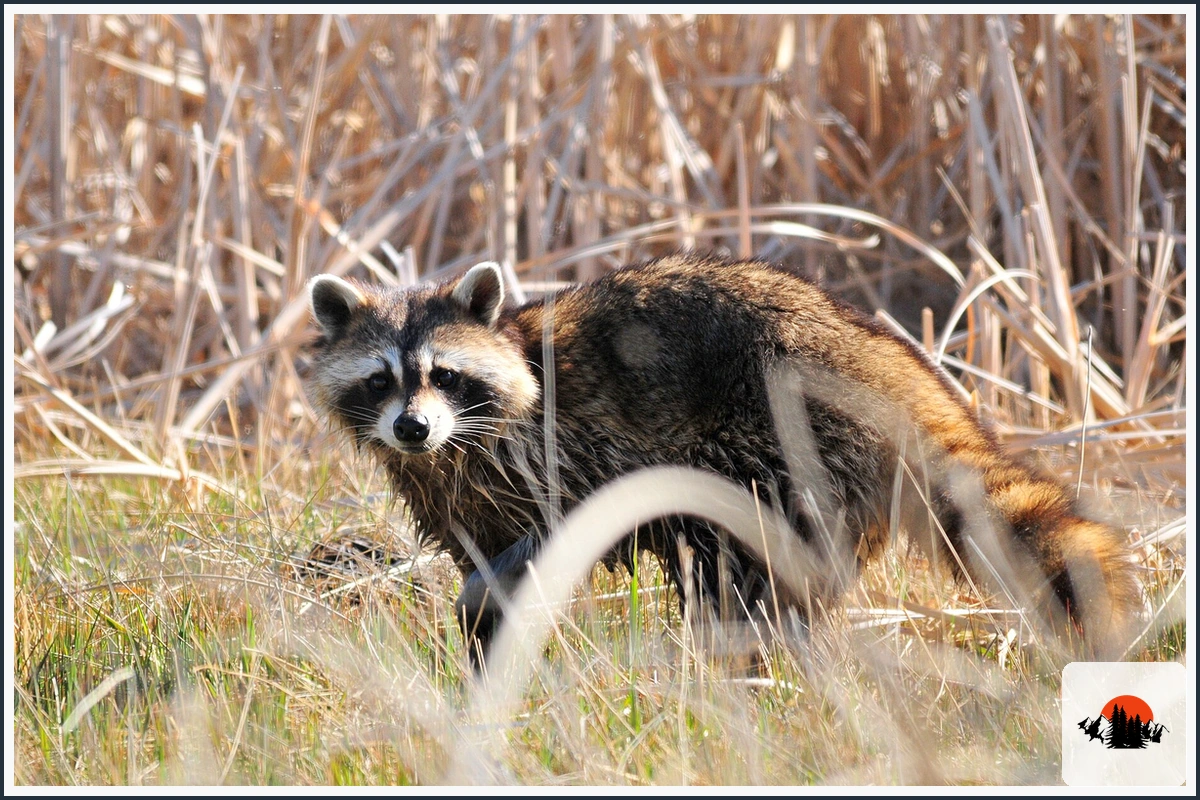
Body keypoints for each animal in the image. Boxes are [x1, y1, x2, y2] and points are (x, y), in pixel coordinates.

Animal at [306, 255, 1141, 660]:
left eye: (444, 375)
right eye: (380, 379)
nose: (412, 428)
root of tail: (877, 357)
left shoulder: (563, 446)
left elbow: (559, 529)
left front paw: (492, 604)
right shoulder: (459, 491)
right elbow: (483, 559)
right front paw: (484, 645)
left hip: (782, 440)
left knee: (738, 567)